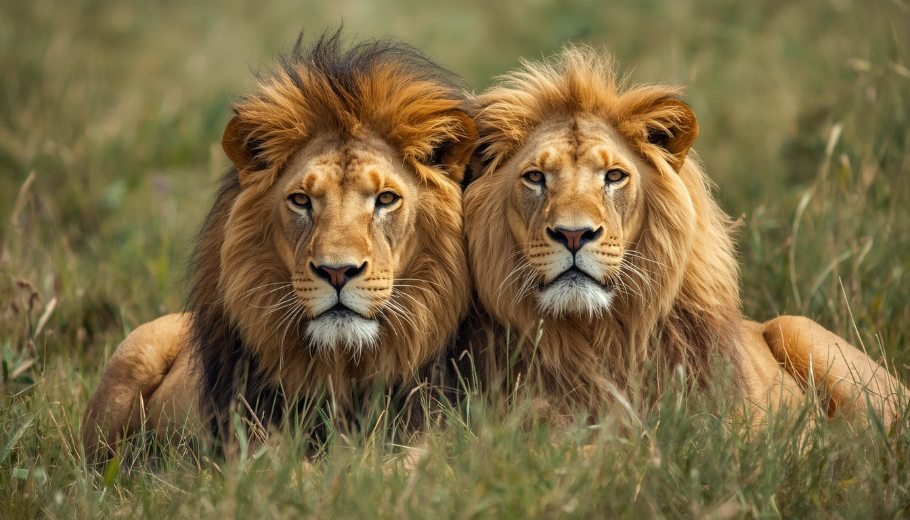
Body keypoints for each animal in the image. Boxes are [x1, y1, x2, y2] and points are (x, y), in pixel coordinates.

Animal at [82, 32, 477, 461]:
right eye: (301, 201)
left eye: (386, 199)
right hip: (131, 360)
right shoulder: (247, 440)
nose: (337, 271)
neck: (343, 367)